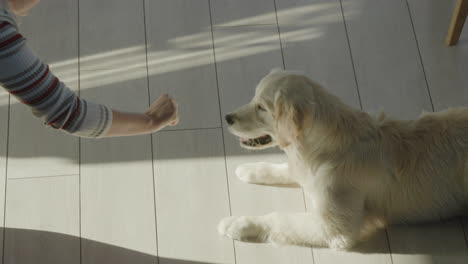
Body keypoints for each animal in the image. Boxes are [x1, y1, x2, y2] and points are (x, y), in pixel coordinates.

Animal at [218, 68, 468, 250]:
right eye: (253, 99)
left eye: (261, 107)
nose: (227, 118)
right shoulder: (304, 169)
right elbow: (286, 169)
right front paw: (249, 169)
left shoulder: (333, 228)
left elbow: (279, 218)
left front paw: (237, 223)